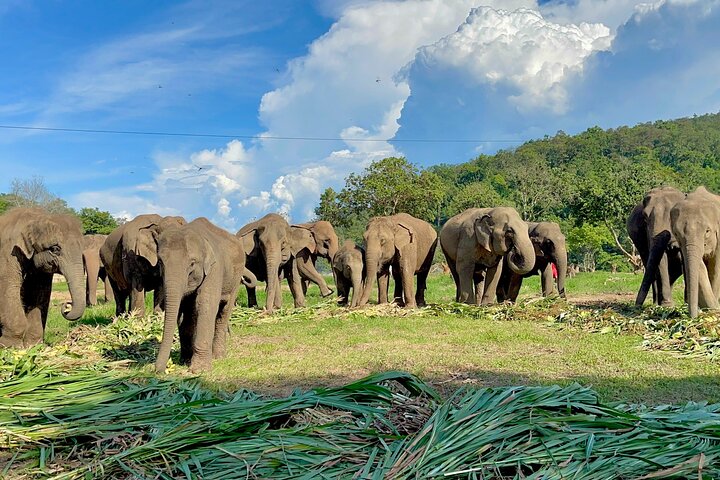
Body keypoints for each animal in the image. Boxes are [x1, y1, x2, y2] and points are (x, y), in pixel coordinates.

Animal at [0, 208, 86, 347]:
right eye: (55, 249)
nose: (67, 306)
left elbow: (40, 293)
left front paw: (33, 346)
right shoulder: (8, 254)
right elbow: (8, 288)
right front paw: (11, 347)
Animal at [155, 218, 255, 373]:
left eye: (192, 263)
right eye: (160, 261)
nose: (157, 370)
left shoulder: (214, 269)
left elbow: (205, 306)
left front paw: (199, 370)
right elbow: (183, 312)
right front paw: (185, 361)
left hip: (235, 279)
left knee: (223, 313)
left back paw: (218, 356)